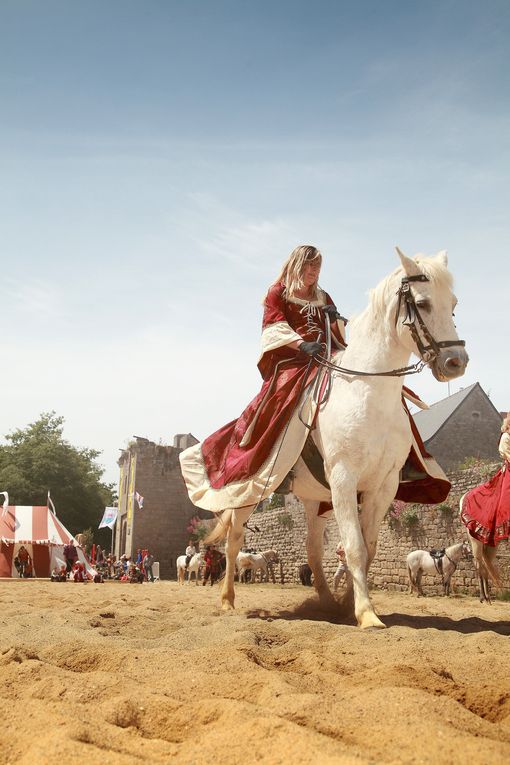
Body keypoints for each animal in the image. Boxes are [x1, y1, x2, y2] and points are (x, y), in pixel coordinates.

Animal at [206, 251, 466, 628]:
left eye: (453, 304)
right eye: (422, 303)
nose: (456, 361)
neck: (368, 392)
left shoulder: (384, 484)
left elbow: (368, 548)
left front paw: (349, 605)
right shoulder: (344, 477)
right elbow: (354, 547)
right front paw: (366, 614)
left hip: (315, 501)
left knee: (313, 551)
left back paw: (327, 602)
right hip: (248, 492)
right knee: (234, 540)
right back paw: (227, 600)